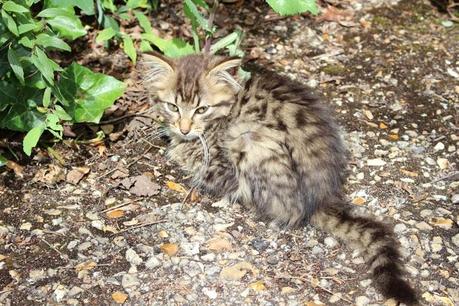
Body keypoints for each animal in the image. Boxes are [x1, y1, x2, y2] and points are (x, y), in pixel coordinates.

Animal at [142, 53, 418, 306]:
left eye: (202, 109)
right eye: (173, 106)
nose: (184, 128)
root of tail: (319, 198)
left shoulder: (220, 161)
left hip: (251, 140)